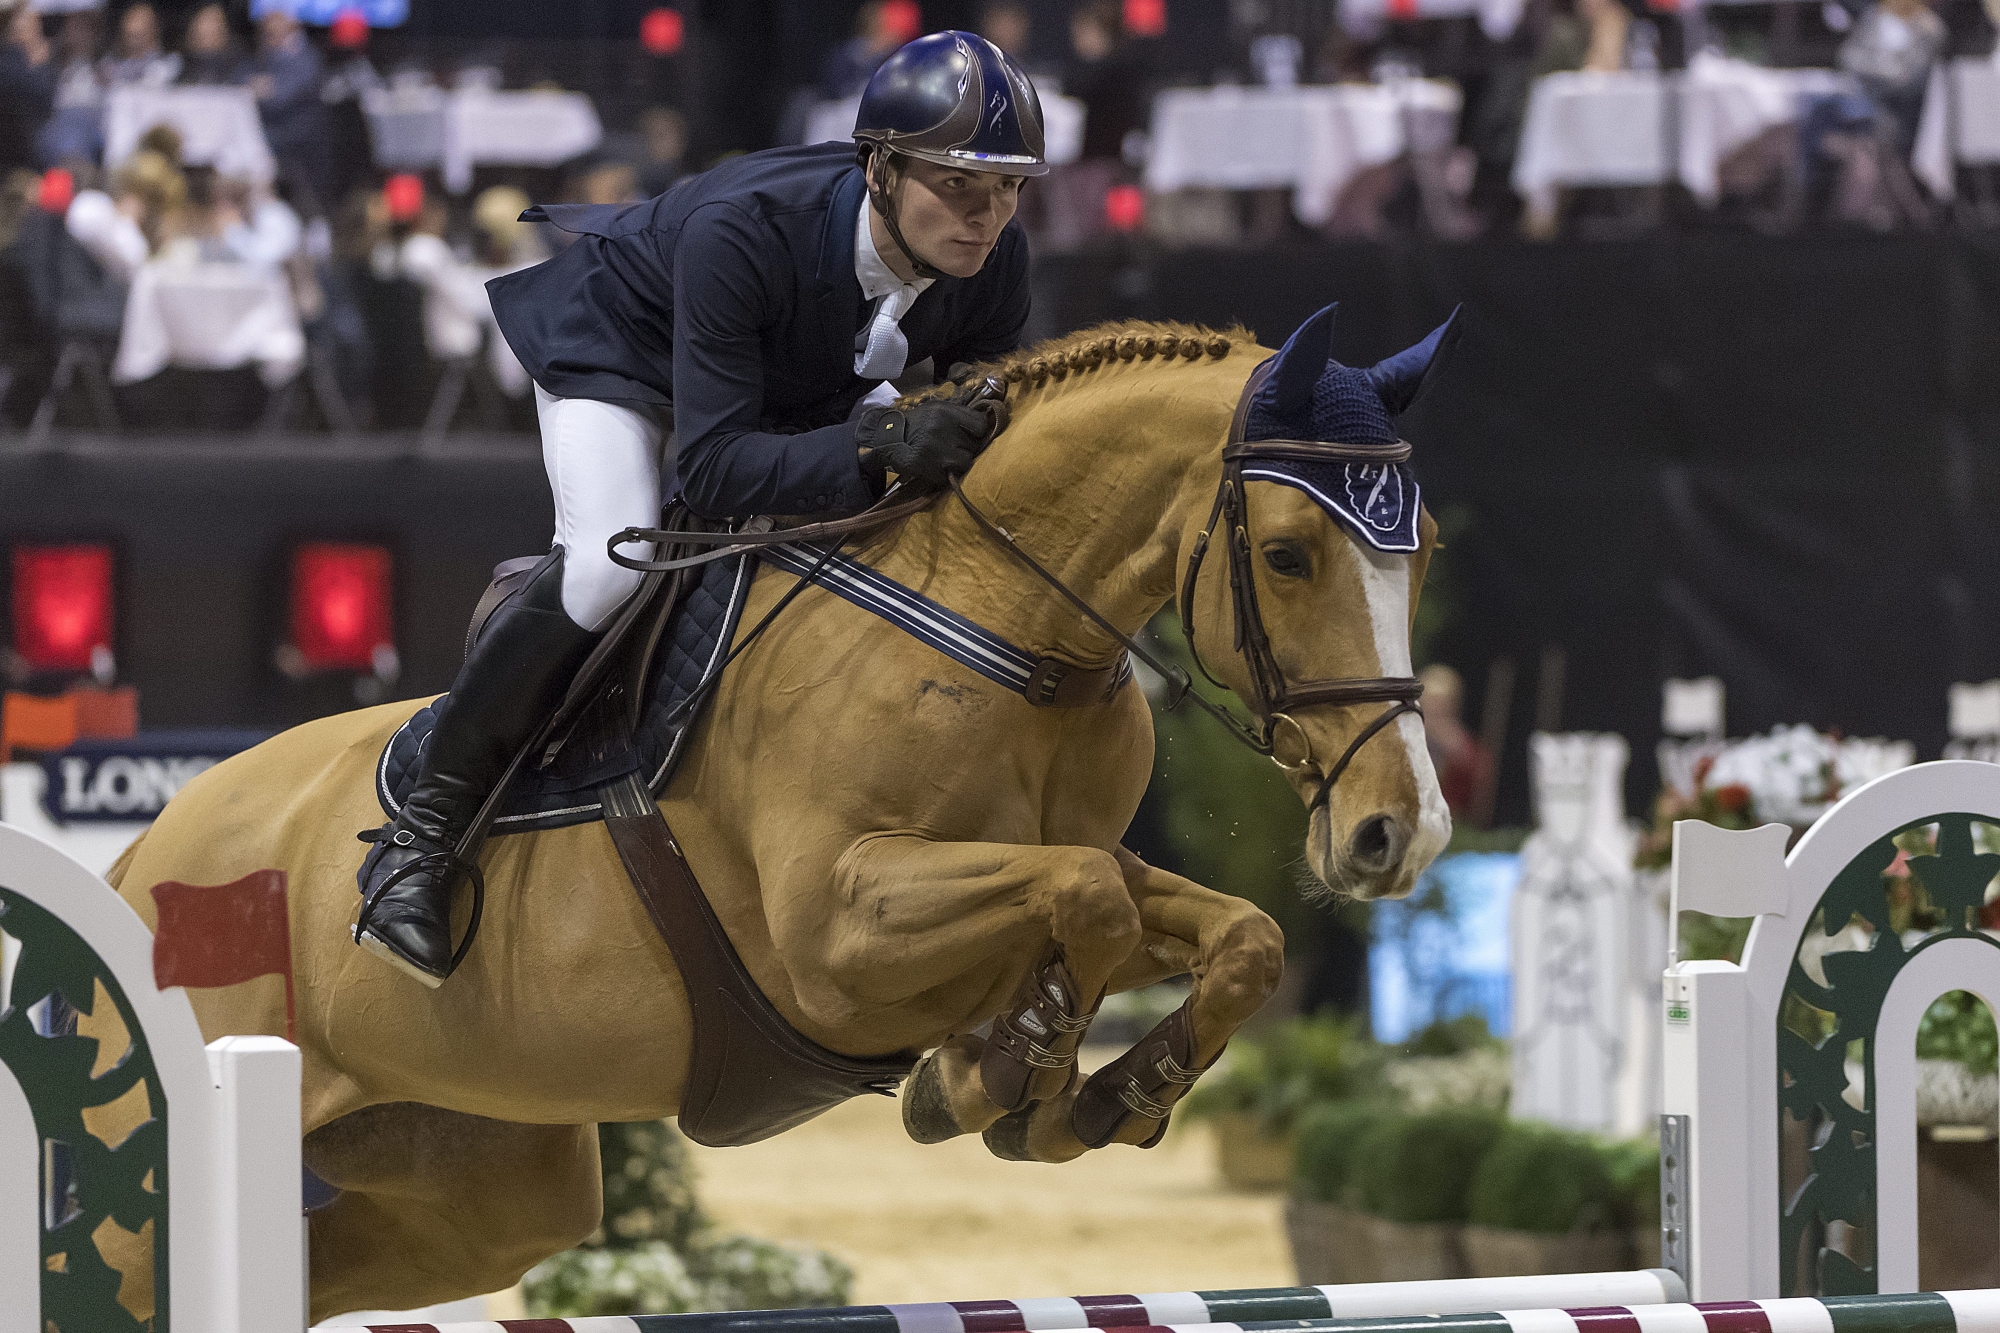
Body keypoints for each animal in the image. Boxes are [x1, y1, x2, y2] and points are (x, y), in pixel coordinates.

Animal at [101, 304, 1448, 1320]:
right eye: (1286, 554)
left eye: (1421, 544)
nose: (1397, 832)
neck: (1004, 630)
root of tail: (139, 858)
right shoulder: (833, 938)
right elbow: (1086, 901)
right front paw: (991, 1075)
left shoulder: (1061, 859)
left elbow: (1224, 932)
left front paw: (1100, 1091)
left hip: (475, 1178)